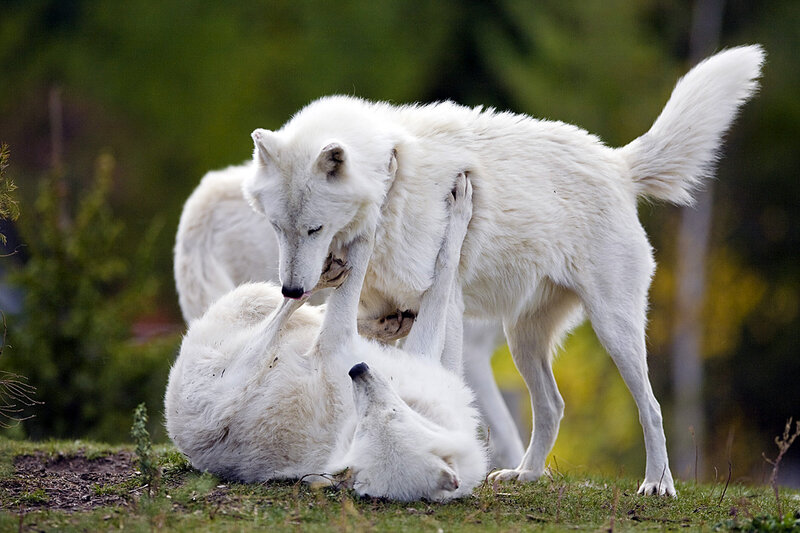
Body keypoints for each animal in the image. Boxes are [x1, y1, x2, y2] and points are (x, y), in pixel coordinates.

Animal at [242, 46, 765, 496]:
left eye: (314, 228)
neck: (394, 176)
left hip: (614, 331)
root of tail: (617, 162)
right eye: (278, 227)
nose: (291, 289)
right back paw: (525, 475)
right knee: (553, 407)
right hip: (524, 340)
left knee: (651, 408)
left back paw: (657, 483)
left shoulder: (445, 305)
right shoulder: (379, 310)